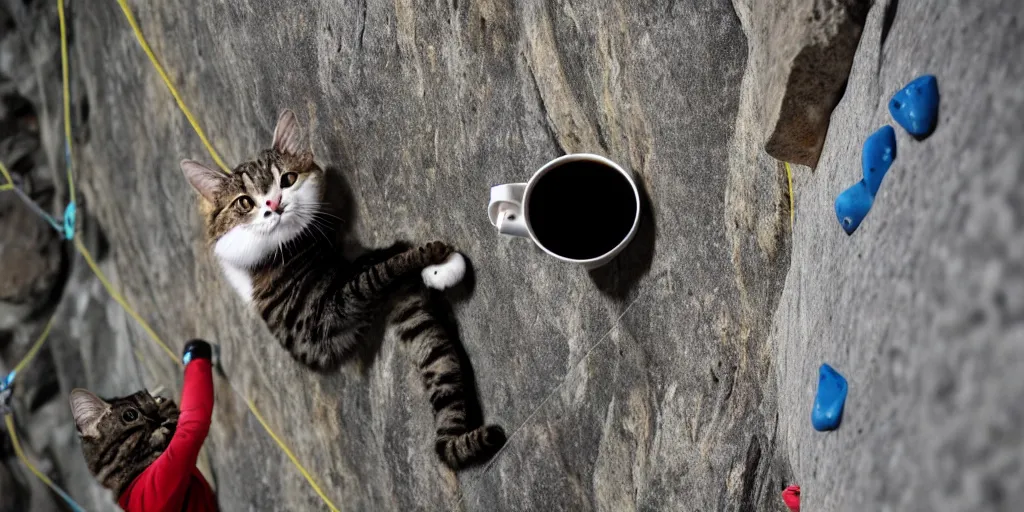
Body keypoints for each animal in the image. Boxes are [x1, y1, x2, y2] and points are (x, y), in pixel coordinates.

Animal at [71, 339, 219, 512]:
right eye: (130, 415)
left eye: (158, 400)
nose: (159, 417)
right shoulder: (161, 479)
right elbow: (195, 420)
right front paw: (197, 348)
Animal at [183, 110, 507, 468]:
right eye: (244, 202)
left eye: (287, 179)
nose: (274, 202)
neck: (287, 246)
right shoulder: (325, 314)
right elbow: (382, 268)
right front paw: (433, 257)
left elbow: (380, 261)